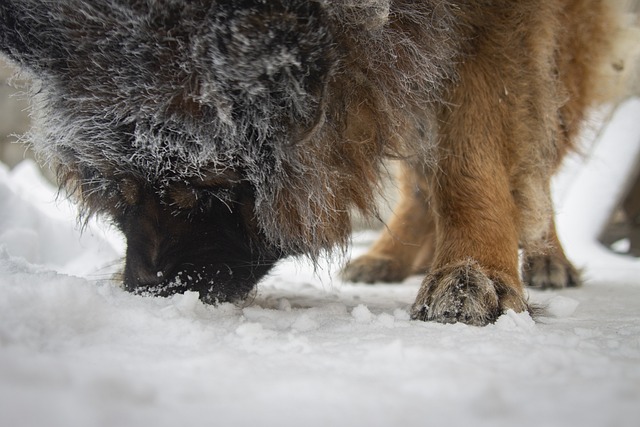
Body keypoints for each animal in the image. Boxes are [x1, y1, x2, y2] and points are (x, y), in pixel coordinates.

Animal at [0, 0, 632, 326]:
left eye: (205, 190)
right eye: (123, 193)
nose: (146, 289)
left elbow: (473, 153)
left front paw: (473, 267)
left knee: (537, 159)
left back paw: (547, 257)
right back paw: (389, 254)